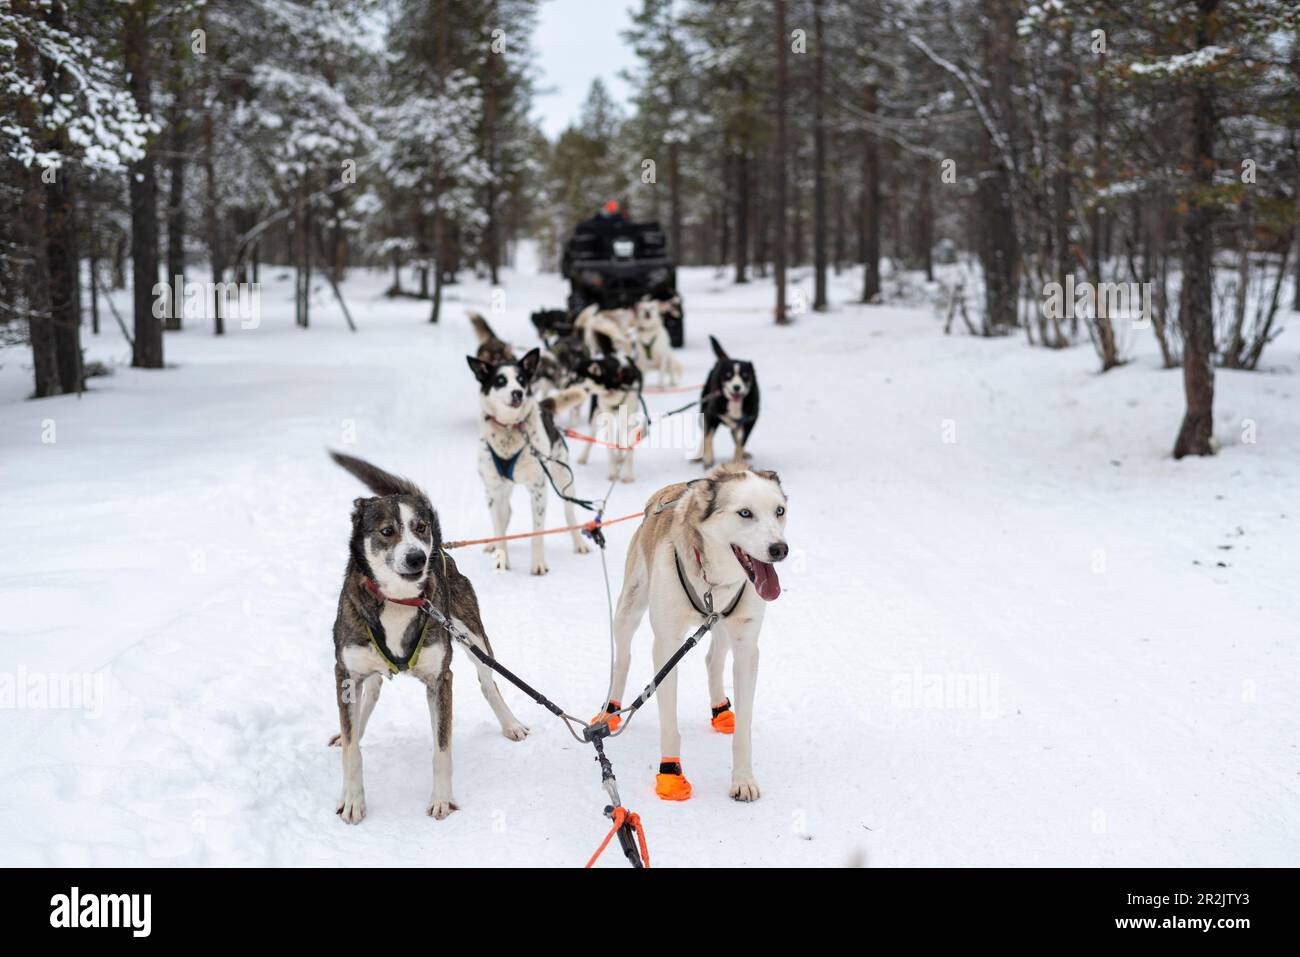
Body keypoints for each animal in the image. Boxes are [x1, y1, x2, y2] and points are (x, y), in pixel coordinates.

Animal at [702, 338, 759, 468]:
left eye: (745, 376)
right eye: (728, 375)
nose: (736, 387)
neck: (734, 404)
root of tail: (726, 359)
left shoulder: (750, 421)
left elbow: (741, 443)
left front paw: (737, 461)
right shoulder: (711, 414)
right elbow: (708, 437)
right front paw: (708, 458)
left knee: (735, 437)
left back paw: (743, 454)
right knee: (706, 433)